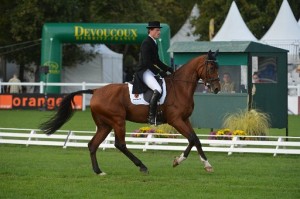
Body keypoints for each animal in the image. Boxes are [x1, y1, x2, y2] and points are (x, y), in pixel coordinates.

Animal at [38, 50, 219, 176]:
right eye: (211, 67)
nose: (217, 88)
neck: (180, 87)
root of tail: (96, 91)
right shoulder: (176, 120)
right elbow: (193, 138)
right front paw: (185, 162)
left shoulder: (184, 119)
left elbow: (195, 140)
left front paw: (199, 164)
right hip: (118, 120)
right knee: (120, 144)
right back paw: (142, 166)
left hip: (105, 125)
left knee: (93, 145)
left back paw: (99, 171)